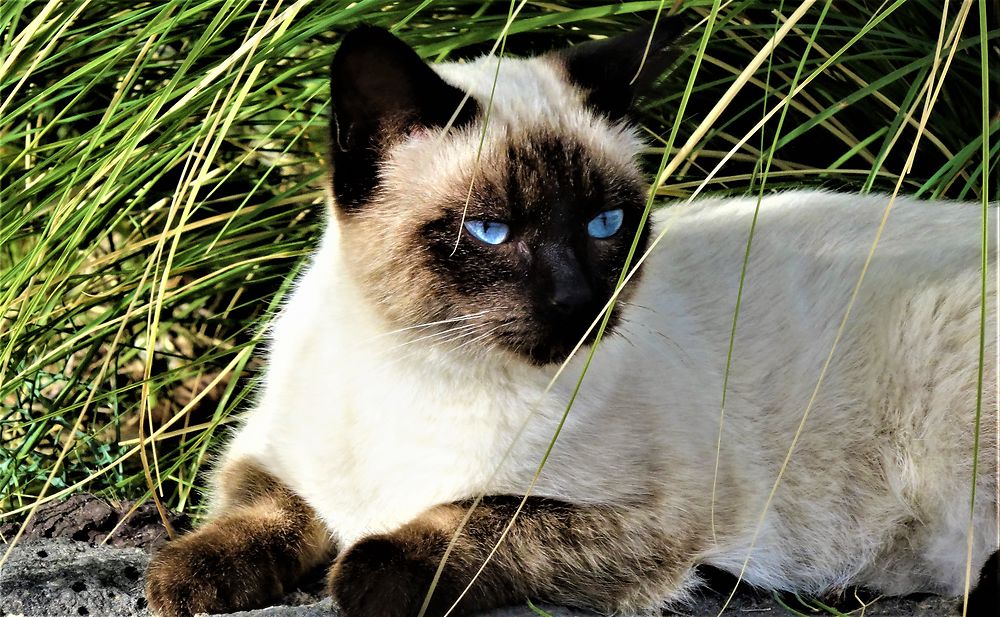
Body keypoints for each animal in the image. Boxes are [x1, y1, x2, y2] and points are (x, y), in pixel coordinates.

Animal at [146, 21, 1000, 612]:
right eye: (490, 231)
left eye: (605, 224)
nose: (578, 303)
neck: (422, 366)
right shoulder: (268, 451)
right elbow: (260, 511)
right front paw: (184, 579)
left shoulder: (644, 520)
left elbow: (464, 526)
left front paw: (360, 571)